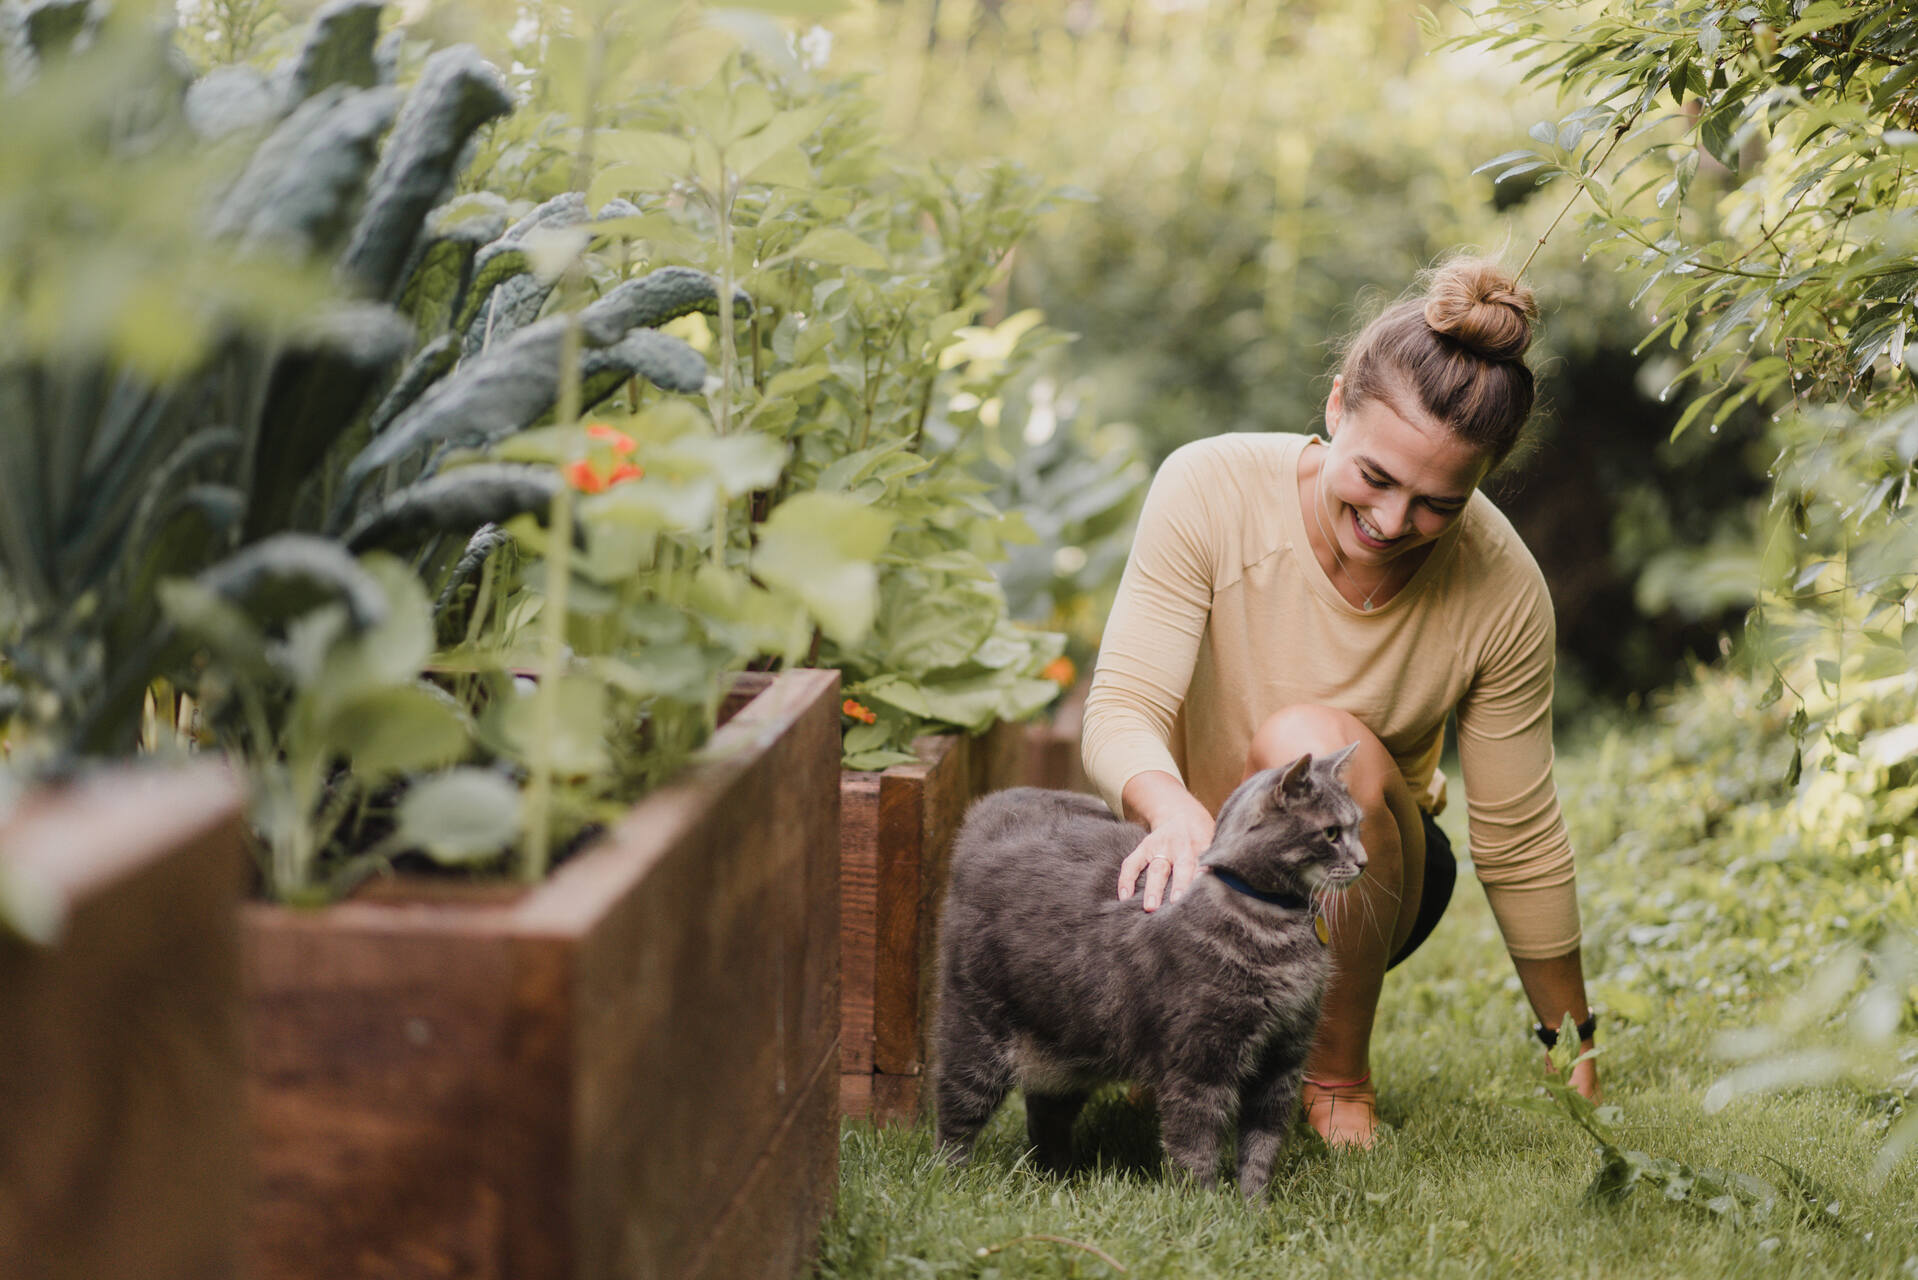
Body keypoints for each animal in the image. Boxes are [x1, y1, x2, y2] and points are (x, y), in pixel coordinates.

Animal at [928, 744, 1365, 1197]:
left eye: (1357, 826)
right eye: (1332, 833)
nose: (1363, 862)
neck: (1276, 929)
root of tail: (994, 806)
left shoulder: (1283, 1060)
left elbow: (1263, 1147)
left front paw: (1254, 1205)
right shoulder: (1200, 1061)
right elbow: (1195, 1146)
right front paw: (1207, 1206)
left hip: (1065, 1051)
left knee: (1045, 1116)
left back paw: (1059, 1179)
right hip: (975, 1031)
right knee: (955, 1112)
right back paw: (950, 1178)